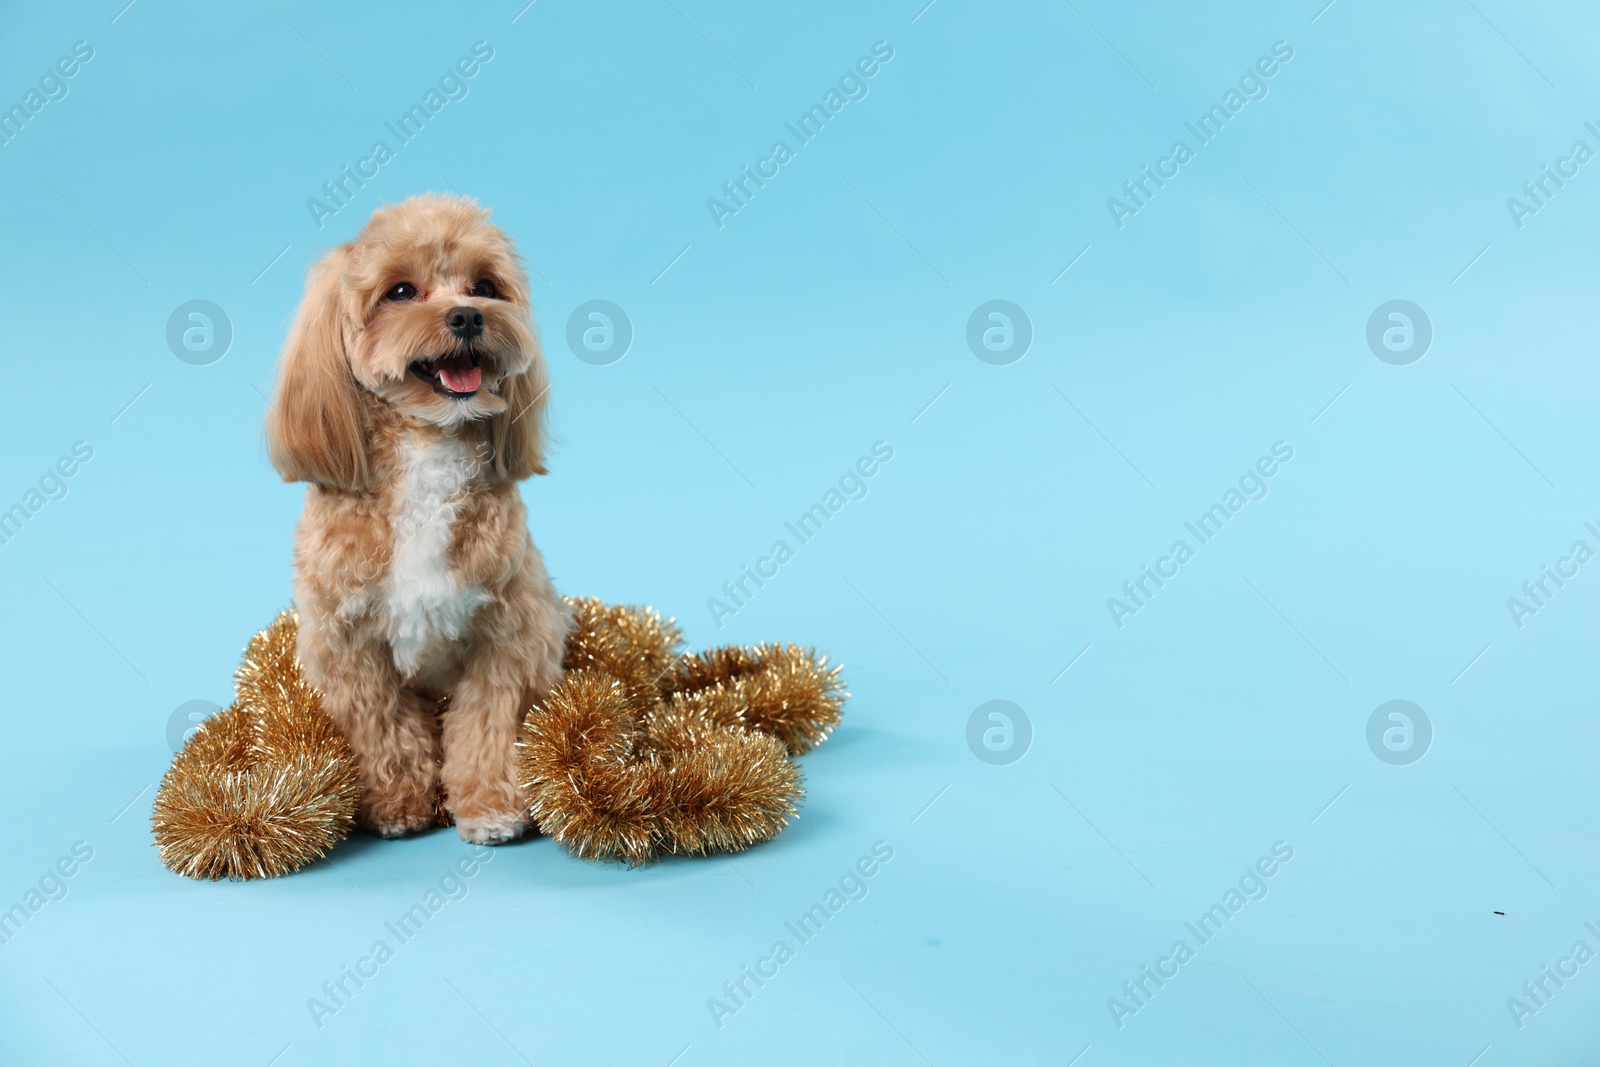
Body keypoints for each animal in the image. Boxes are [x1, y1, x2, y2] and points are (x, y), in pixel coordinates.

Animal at [270, 191, 576, 844]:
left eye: (485, 286)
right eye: (402, 292)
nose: (467, 316)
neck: (428, 448)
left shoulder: (509, 631)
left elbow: (484, 724)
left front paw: (489, 806)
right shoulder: (346, 643)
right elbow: (382, 724)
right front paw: (396, 802)